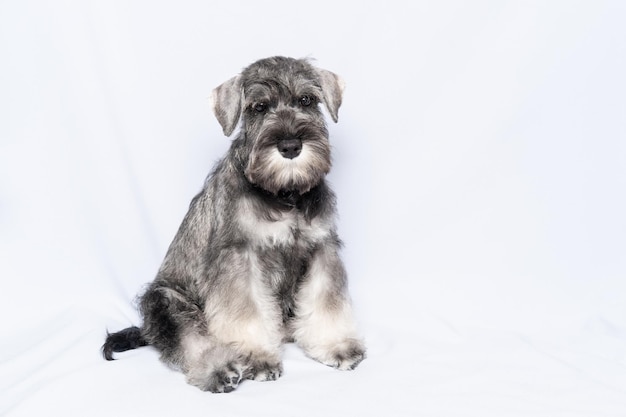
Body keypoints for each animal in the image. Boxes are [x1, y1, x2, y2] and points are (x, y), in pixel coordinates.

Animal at [101, 57, 366, 392]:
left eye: (306, 100)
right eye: (259, 107)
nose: (290, 145)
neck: (284, 193)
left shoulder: (321, 248)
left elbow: (325, 300)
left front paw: (336, 345)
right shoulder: (239, 257)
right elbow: (246, 311)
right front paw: (257, 358)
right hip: (166, 300)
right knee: (191, 339)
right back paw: (221, 368)